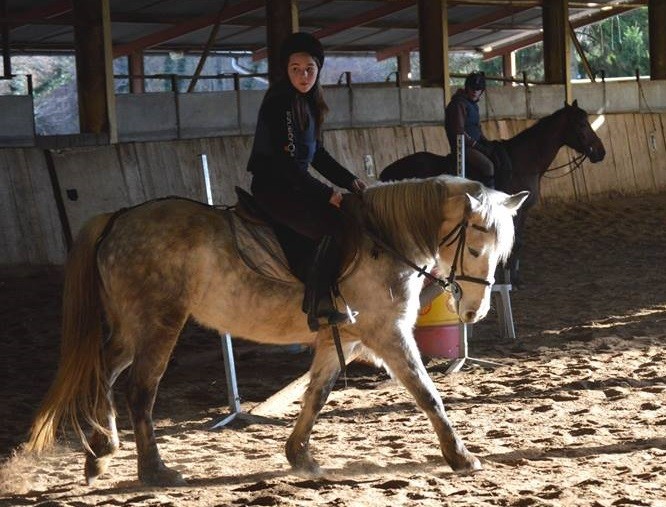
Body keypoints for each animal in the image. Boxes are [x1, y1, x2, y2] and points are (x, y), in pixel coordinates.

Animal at [24, 176, 524, 488]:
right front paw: (461, 457)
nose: (474, 312)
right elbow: (427, 394)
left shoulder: (343, 338)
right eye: (475, 248)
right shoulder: (388, 333)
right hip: (157, 324)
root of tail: (119, 217)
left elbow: (317, 394)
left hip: (131, 328)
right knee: (139, 391)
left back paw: (99, 453)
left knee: (103, 375)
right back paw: (153, 472)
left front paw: (299, 456)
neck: (385, 240)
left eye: (502, 253)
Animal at [378, 98, 600, 282]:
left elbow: (517, 242)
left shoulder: (522, 211)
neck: (522, 163)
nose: (601, 152)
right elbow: (514, 242)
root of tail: (388, 171)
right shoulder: (518, 211)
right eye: (582, 124)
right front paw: (510, 278)